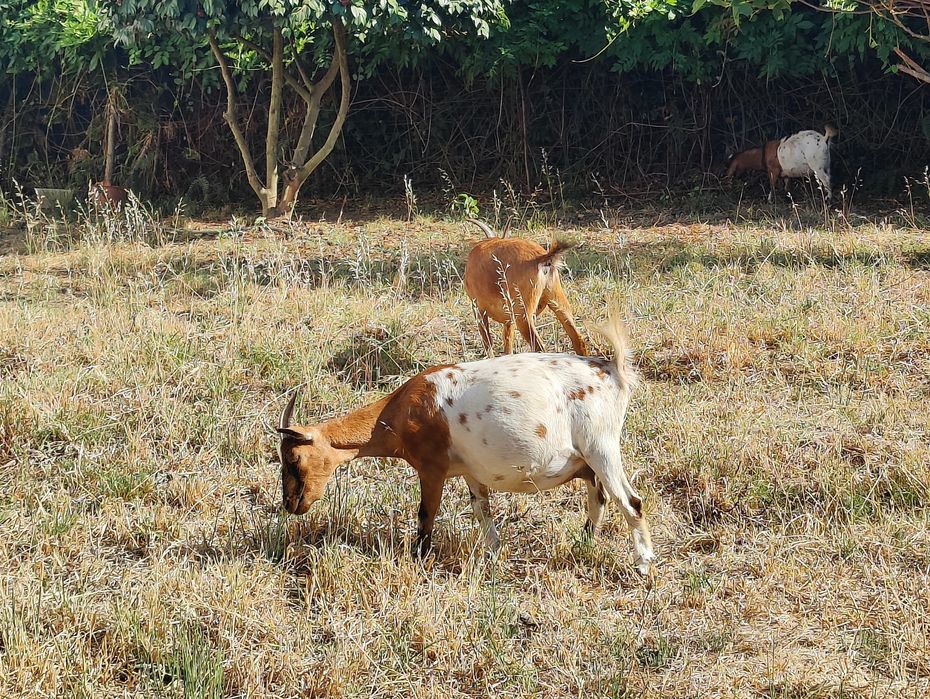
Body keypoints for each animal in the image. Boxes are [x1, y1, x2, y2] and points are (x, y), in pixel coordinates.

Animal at [277, 316, 655, 575]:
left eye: (294, 459)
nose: (291, 504)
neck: (401, 410)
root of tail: (612, 369)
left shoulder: (432, 468)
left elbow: (426, 513)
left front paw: (420, 557)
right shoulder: (471, 472)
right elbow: (482, 510)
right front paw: (491, 555)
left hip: (601, 445)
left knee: (630, 501)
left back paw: (643, 563)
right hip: (584, 458)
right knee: (598, 494)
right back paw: (585, 542)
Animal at [463, 219, 586, 357]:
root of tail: (541, 258)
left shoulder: (478, 308)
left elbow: (488, 343)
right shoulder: (509, 319)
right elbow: (508, 342)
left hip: (523, 316)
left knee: (539, 347)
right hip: (558, 302)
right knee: (578, 340)